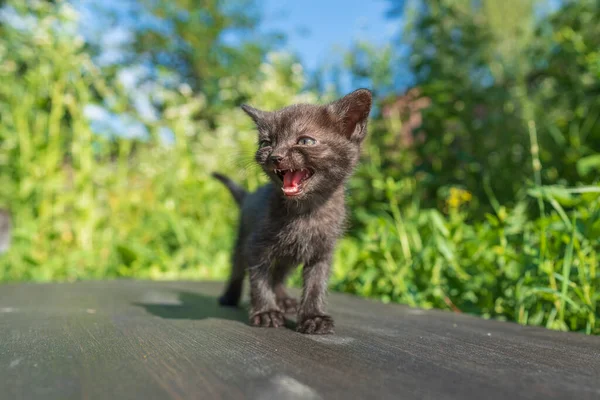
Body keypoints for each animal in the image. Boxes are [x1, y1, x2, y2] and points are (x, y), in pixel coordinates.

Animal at [213, 88, 372, 334]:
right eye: (266, 143)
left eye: (305, 140)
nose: (275, 156)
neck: (305, 213)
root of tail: (248, 195)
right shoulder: (255, 247)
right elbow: (259, 280)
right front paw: (266, 312)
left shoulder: (322, 252)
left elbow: (316, 285)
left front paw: (313, 317)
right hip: (242, 240)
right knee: (238, 268)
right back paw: (230, 296)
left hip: (287, 255)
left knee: (279, 274)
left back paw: (284, 300)